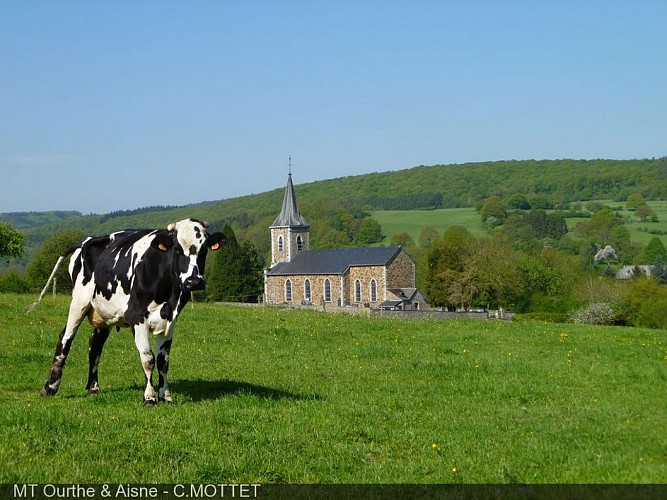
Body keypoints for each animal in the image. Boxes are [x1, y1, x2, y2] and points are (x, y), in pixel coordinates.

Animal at [27, 219, 226, 406]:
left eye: (204, 249)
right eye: (176, 249)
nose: (194, 281)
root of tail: (86, 241)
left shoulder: (170, 319)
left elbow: (163, 360)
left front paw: (166, 396)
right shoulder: (136, 316)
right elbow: (148, 358)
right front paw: (150, 398)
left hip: (104, 312)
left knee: (95, 344)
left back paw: (93, 388)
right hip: (79, 302)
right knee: (65, 338)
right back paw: (50, 386)